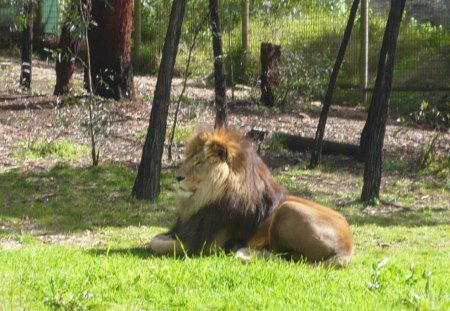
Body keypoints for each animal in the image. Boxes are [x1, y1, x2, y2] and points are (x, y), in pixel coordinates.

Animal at [149, 127, 354, 268]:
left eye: (199, 163)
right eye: (187, 160)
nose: (177, 177)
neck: (201, 201)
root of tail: (348, 249)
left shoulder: (204, 245)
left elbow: (155, 244)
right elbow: (159, 237)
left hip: (288, 210)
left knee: (287, 258)